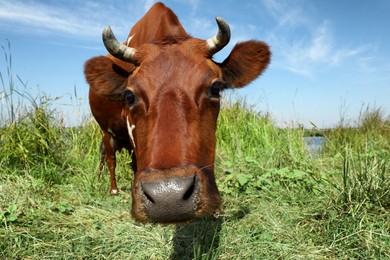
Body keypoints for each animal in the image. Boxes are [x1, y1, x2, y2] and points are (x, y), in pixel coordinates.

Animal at [84, 2, 270, 222]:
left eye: (216, 88)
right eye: (129, 95)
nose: (168, 198)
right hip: (106, 131)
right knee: (110, 158)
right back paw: (113, 189)